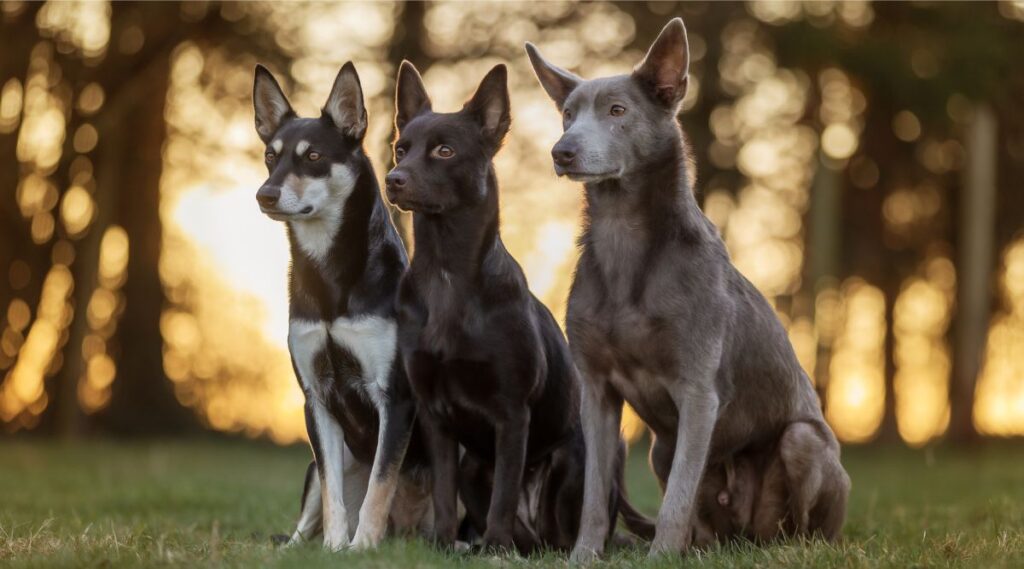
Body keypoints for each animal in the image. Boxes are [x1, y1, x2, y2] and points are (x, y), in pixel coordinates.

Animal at [256, 62, 436, 552]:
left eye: (314, 156)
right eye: (270, 157)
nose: (265, 195)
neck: (330, 273)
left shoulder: (394, 396)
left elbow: (380, 482)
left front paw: (361, 547)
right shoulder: (316, 397)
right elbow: (333, 489)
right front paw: (335, 547)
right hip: (314, 468)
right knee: (308, 511)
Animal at [380, 63, 651, 556]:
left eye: (445, 150)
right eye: (401, 148)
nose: (394, 178)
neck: (447, 274)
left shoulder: (511, 414)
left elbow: (504, 494)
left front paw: (494, 545)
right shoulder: (434, 415)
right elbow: (444, 493)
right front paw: (444, 543)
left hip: (568, 469)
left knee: (553, 533)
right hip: (473, 467)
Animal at [524, 16, 851, 560]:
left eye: (618, 111)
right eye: (567, 115)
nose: (561, 150)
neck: (625, 240)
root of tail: (744, 535)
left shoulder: (698, 392)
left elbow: (678, 493)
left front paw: (660, 557)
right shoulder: (596, 390)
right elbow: (595, 492)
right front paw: (584, 555)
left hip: (804, 442)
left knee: (800, 520)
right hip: (660, 447)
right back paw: (701, 547)